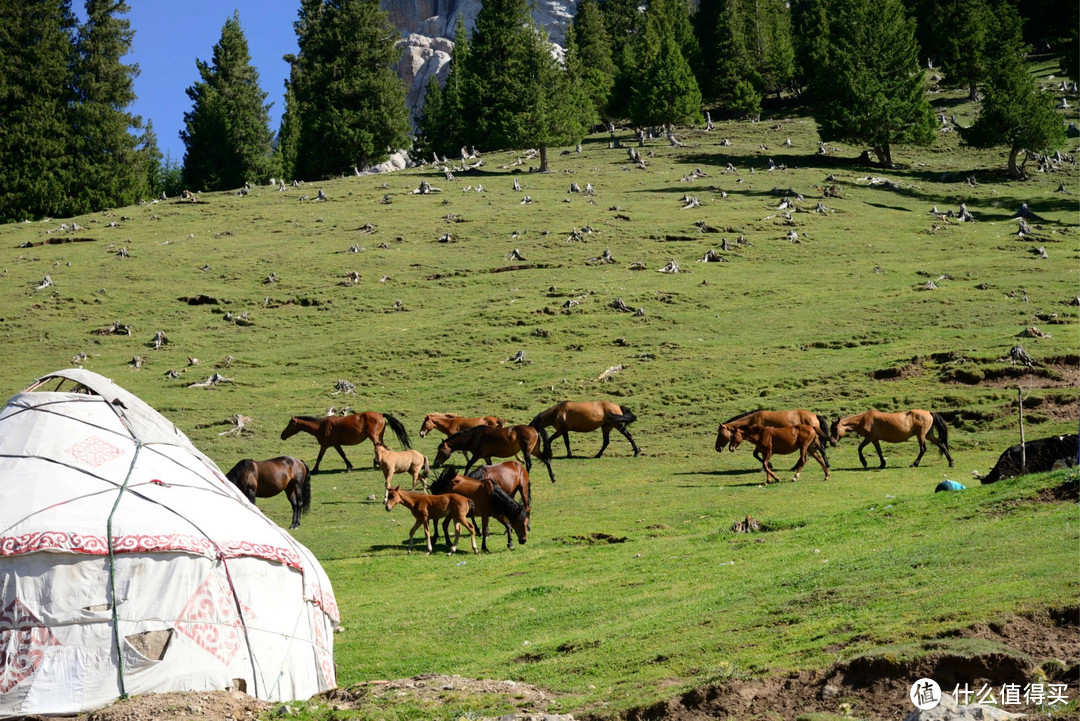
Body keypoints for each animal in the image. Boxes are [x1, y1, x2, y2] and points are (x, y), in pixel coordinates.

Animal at [280, 410, 410, 472]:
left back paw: (376, 464)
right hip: (379, 437)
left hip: (374, 437)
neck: (321, 426)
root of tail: (380, 414)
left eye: (290, 424)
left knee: (379, 447)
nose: (282, 435)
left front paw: (349, 467)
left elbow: (342, 455)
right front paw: (314, 470)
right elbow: (319, 458)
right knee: (384, 447)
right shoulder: (324, 445)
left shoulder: (335, 444)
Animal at [825, 407, 954, 470]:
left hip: (921, 435)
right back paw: (951, 462)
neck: (864, 419)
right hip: (928, 435)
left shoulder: (870, 437)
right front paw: (882, 464)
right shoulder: (875, 439)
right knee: (941, 444)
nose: (832, 442)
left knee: (923, 449)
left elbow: (859, 448)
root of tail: (929, 413)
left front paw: (864, 462)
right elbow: (879, 452)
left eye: (835, 429)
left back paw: (914, 464)